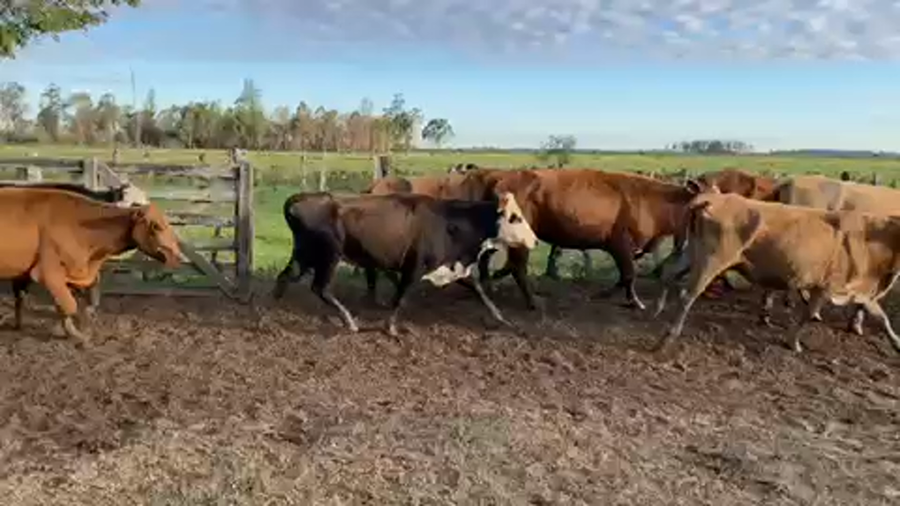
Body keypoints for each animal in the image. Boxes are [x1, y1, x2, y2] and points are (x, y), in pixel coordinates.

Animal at [271, 191, 538, 335]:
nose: (534, 240)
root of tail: (301, 199)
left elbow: (481, 293)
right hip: (328, 256)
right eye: (515, 218)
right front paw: (390, 326)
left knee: (285, 277)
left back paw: (273, 308)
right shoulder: (414, 267)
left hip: (305, 255)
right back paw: (349, 321)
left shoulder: (453, 267)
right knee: (321, 288)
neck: (450, 222)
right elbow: (401, 296)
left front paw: (503, 318)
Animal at [654, 192, 900, 355]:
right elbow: (809, 314)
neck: (870, 237)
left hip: (692, 253)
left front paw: (897, 343)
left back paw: (657, 309)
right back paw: (668, 338)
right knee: (688, 295)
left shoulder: (860, 292)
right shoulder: (826, 287)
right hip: (711, 261)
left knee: (668, 272)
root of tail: (713, 197)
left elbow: (882, 318)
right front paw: (794, 343)